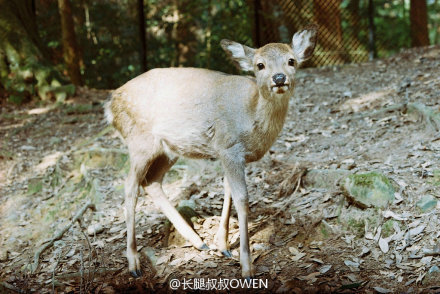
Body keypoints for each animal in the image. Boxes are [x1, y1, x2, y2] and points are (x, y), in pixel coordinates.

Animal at [105, 24, 320, 278]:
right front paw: (246, 266)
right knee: (130, 185)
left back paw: (198, 241)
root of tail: (110, 105)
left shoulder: (229, 154)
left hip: (168, 149)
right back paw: (133, 263)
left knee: (151, 182)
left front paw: (222, 245)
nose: (279, 78)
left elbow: (227, 189)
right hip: (139, 141)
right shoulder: (228, 146)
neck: (251, 116)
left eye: (291, 60)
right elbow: (242, 198)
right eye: (260, 65)